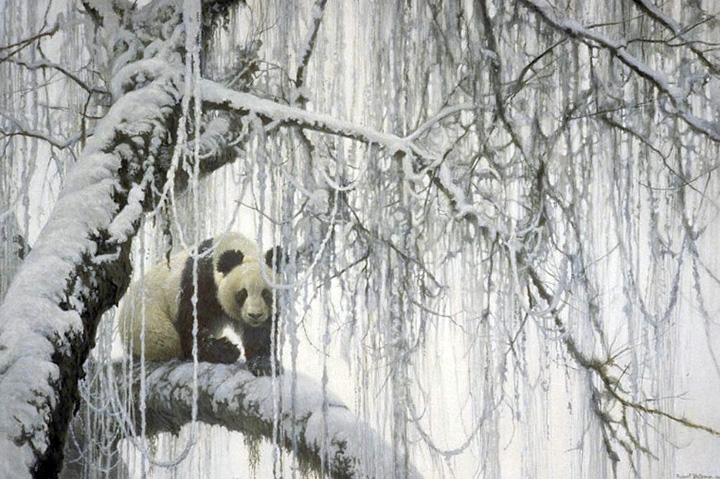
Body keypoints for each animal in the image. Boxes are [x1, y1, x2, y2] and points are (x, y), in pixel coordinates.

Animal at [118, 232, 283, 376]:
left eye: (266, 294)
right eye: (243, 294)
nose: (255, 315)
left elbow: (261, 333)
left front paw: (264, 364)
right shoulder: (199, 281)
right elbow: (192, 324)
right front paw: (227, 349)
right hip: (147, 324)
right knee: (166, 340)